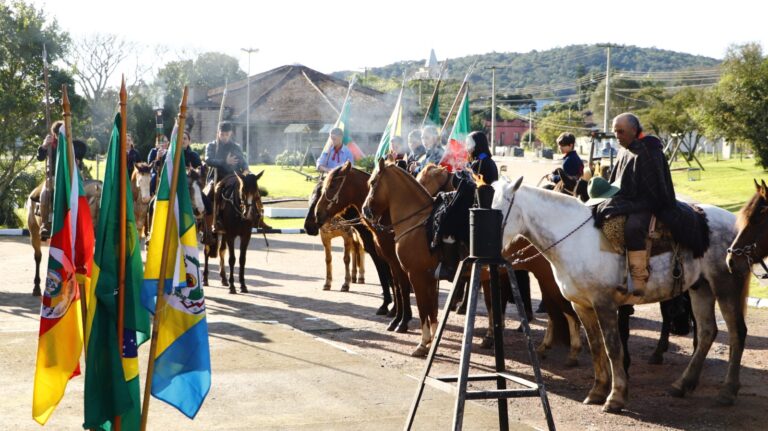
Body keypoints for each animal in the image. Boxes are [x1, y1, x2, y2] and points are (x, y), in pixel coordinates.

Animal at [312, 164, 414, 332]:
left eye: (332, 185)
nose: (317, 214)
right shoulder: (387, 257)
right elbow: (393, 282)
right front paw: (394, 313)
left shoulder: (394, 258)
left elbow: (397, 283)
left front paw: (401, 318)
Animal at [364, 160, 440, 356]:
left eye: (372, 183)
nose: (365, 210)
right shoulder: (429, 277)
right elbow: (432, 309)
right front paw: (432, 341)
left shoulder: (417, 275)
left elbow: (423, 307)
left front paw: (423, 343)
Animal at [414, 164, 584, 366]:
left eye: (426, 180)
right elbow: (490, 305)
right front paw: (490, 335)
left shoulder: (419, 276)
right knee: (555, 311)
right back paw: (547, 346)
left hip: (548, 279)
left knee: (565, 311)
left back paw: (571, 351)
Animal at [492, 177, 752, 414]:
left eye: (499, 210)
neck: (575, 240)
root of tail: (736, 226)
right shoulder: (582, 306)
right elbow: (596, 346)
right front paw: (597, 391)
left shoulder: (604, 304)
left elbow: (613, 347)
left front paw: (615, 397)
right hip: (701, 288)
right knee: (708, 332)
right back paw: (682, 384)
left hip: (725, 286)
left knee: (737, 332)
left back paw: (727, 391)